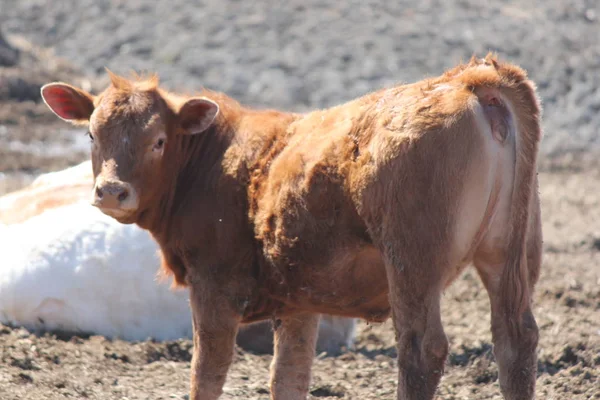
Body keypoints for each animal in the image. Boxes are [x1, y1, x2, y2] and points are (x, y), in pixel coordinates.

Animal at [39, 55, 540, 400]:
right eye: (91, 134)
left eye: (158, 140)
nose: (111, 191)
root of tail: (467, 79)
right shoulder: (300, 300)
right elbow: (289, 377)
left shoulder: (214, 286)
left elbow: (207, 372)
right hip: (509, 255)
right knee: (515, 341)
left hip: (413, 262)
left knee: (422, 350)